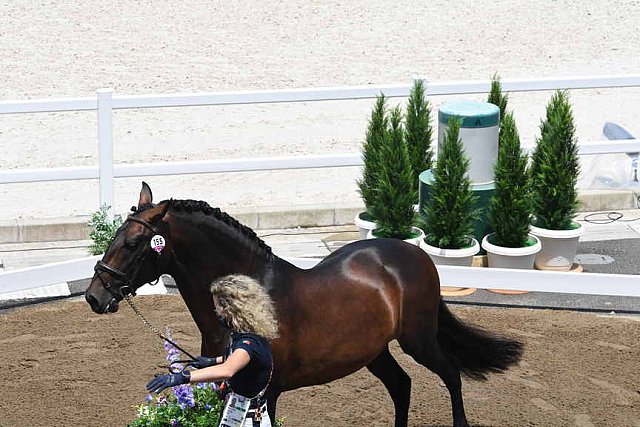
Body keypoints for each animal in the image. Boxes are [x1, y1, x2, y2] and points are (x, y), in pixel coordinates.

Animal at [85, 184, 524, 427]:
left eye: (133, 243)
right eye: (115, 235)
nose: (95, 295)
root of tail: (413, 254)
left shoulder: (265, 392)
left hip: (419, 339)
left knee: (451, 375)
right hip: (374, 351)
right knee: (402, 386)